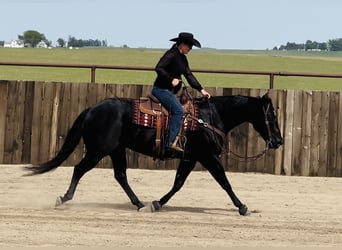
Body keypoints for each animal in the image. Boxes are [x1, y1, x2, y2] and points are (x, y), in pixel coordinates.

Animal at [25, 92, 284, 215]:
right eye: (271, 116)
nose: (279, 141)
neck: (209, 117)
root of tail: (91, 109)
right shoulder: (208, 156)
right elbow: (225, 182)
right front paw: (243, 207)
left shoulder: (191, 158)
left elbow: (178, 183)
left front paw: (157, 203)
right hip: (99, 151)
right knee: (80, 169)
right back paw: (64, 198)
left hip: (117, 150)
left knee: (120, 175)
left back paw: (139, 203)